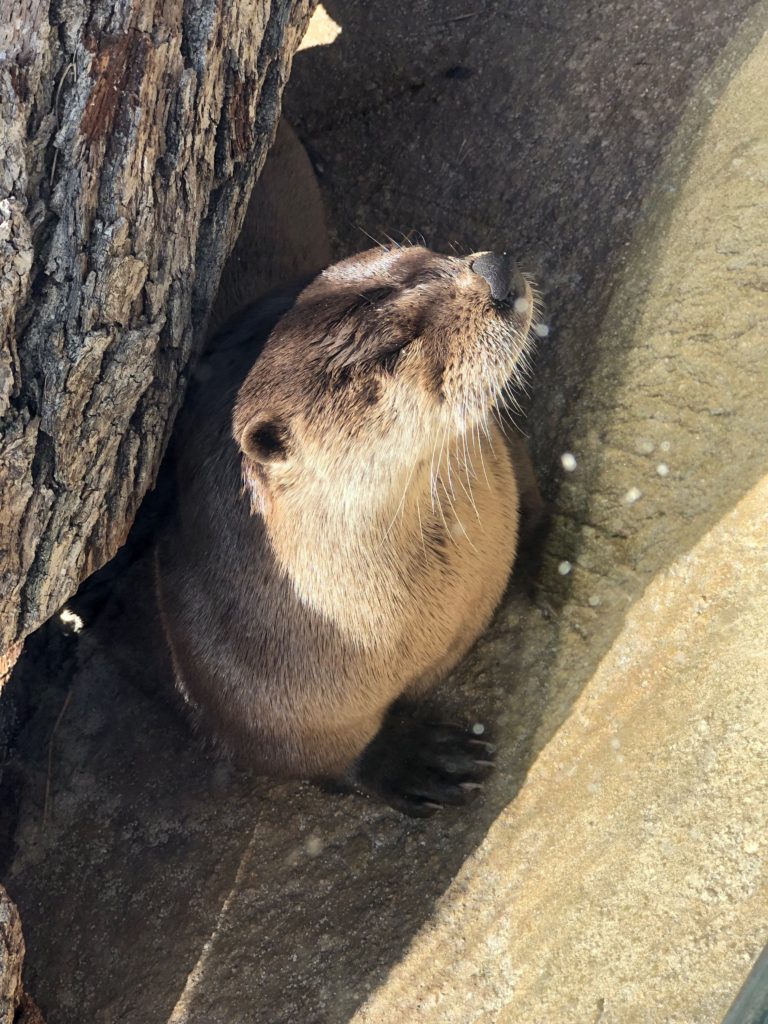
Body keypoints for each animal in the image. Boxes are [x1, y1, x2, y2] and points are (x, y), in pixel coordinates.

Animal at [150, 125, 536, 815]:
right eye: (395, 347)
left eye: (428, 257)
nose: (494, 270)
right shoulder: (258, 704)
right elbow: (327, 759)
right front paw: (417, 759)